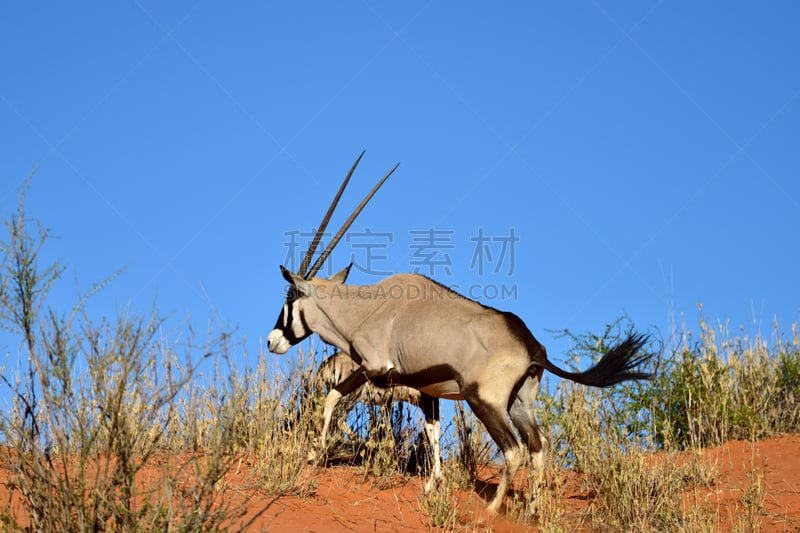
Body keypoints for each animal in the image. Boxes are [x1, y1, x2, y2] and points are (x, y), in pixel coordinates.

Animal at [266, 152, 652, 512]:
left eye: (290, 298)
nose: (272, 341)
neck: (365, 310)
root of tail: (532, 347)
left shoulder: (374, 369)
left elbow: (331, 398)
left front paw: (315, 453)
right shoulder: (427, 389)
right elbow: (433, 430)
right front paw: (432, 484)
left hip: (485, 402)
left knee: (514, 450)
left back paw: (493, 510)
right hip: (519, 405)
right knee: (538, 447)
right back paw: (533, 508)